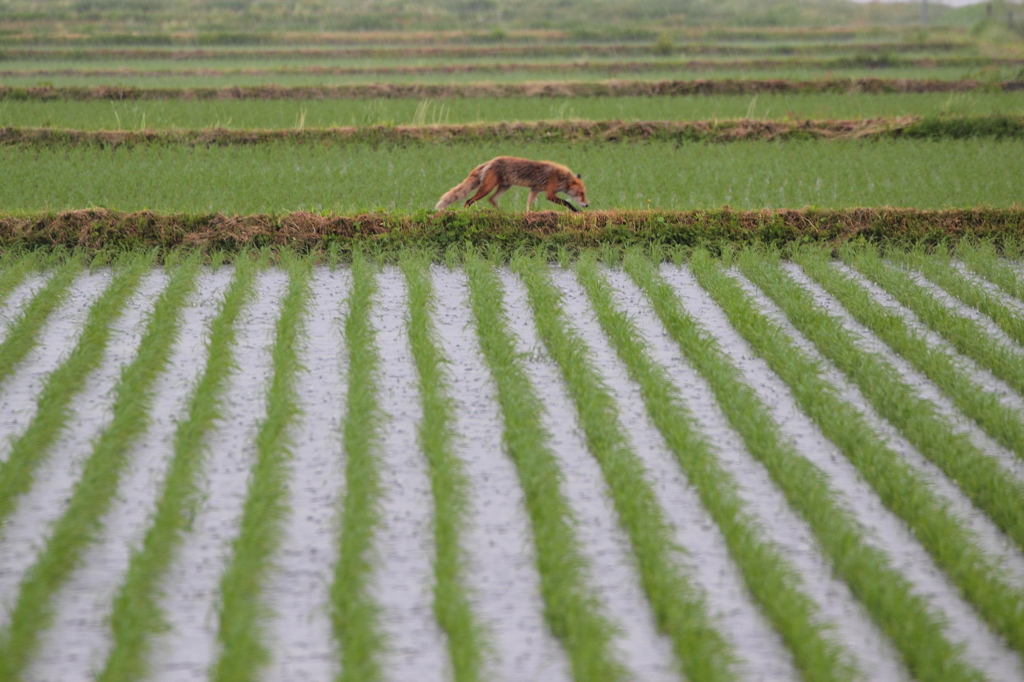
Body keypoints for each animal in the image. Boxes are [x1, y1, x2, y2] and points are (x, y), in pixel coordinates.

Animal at [436, 156, 589, 212]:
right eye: (581, 194)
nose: (587, 205)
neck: (560, 177)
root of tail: (489, 161)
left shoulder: (534, 189)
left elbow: (529, 205)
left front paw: (529, 214)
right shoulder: (550, 194)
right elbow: (566, 202)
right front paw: (576, 211)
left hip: (504, 187)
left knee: (491, 199)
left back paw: (500, 212)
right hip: (486, 188)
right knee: (468, 200)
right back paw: (466, 211)